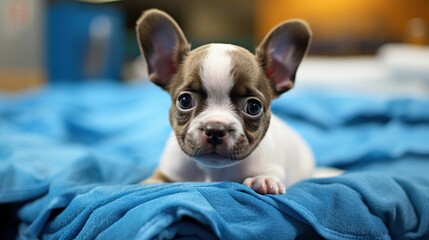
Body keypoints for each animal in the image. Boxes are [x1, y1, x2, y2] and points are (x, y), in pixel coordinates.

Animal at [137, 8, 314, 195]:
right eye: (185, 101)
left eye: (254, 107)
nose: (215, 129)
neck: (213, 172)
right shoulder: (168, 170)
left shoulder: (273, 167)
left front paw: (263, 180)